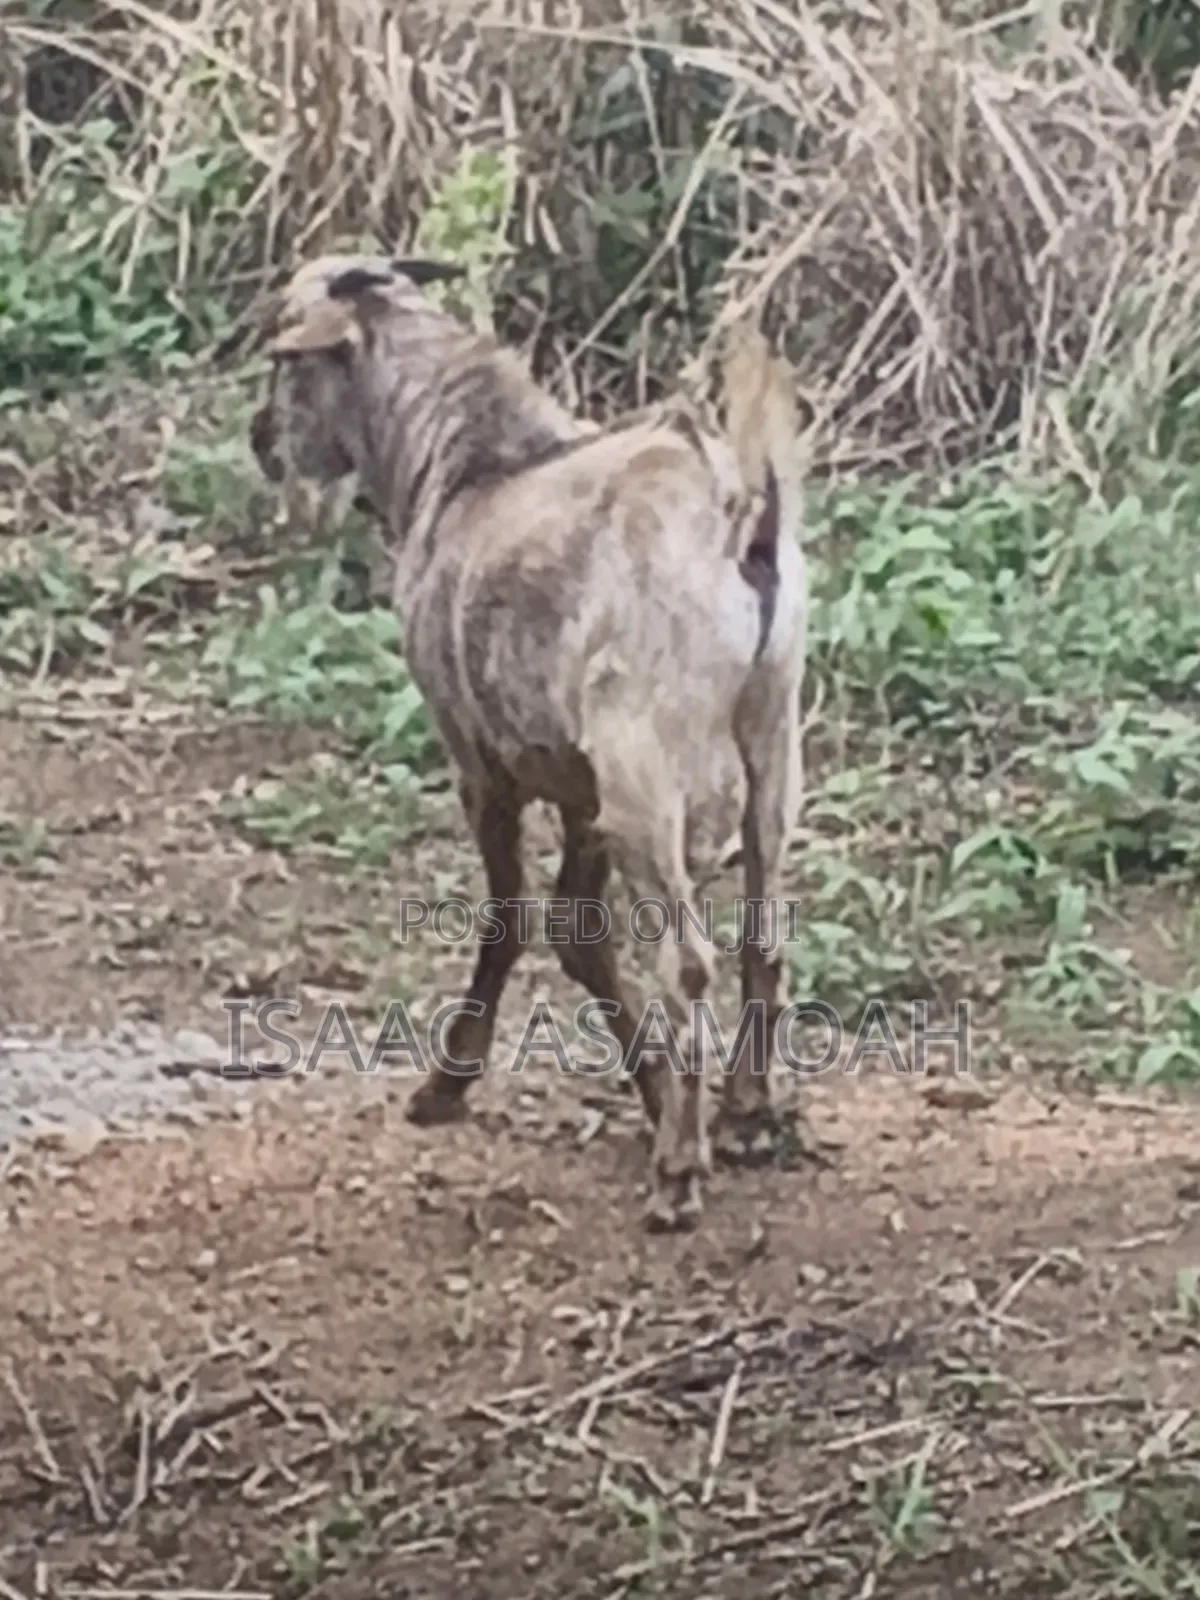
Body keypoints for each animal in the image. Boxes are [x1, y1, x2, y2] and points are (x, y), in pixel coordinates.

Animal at [247, 252, 808, 1230]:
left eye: (288, 358)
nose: (259, 440)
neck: (468, 465)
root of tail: (740, 512)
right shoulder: (579, 782)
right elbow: (578, 931)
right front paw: (651, 1093)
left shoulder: (481, 760)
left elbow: (512, 917)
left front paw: (446, 1084)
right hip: (771, 732)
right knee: (760, 934)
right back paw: (745, 1115)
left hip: (646, 768)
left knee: (689, 961)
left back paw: (680, 1172)